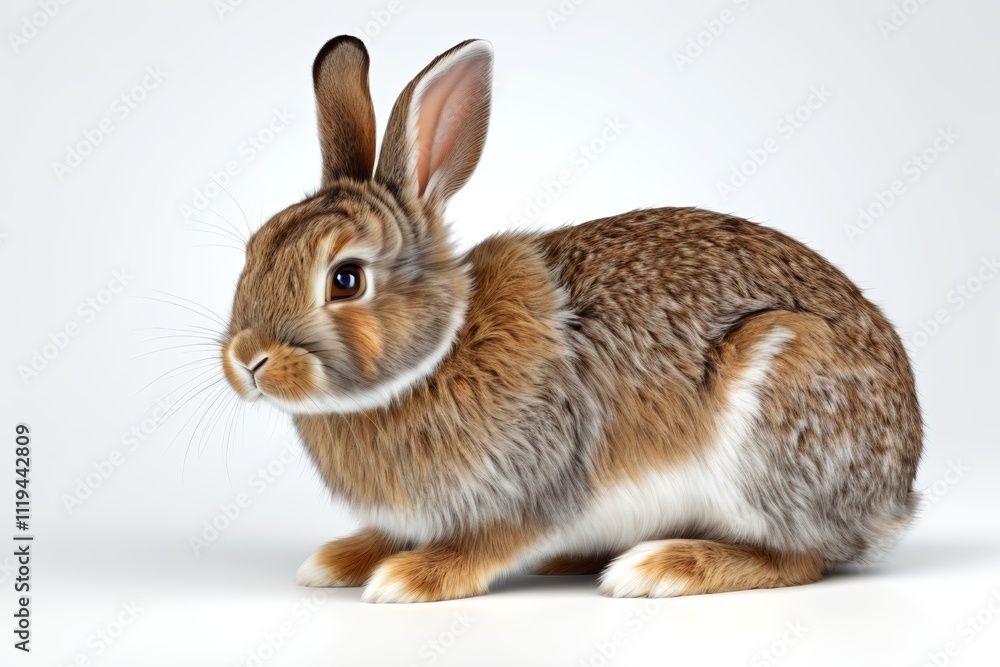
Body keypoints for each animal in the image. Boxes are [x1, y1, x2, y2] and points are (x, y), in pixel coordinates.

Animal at [220, 35, 922, 603]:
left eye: (346, 279)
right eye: (254, 250)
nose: (247, 359)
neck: (440, 351)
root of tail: (896, 491)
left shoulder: (536, 476)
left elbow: (494, 540)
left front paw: (408, 578)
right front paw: (339, 560)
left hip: (776, 410)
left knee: (801, 558)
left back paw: (659, 568)